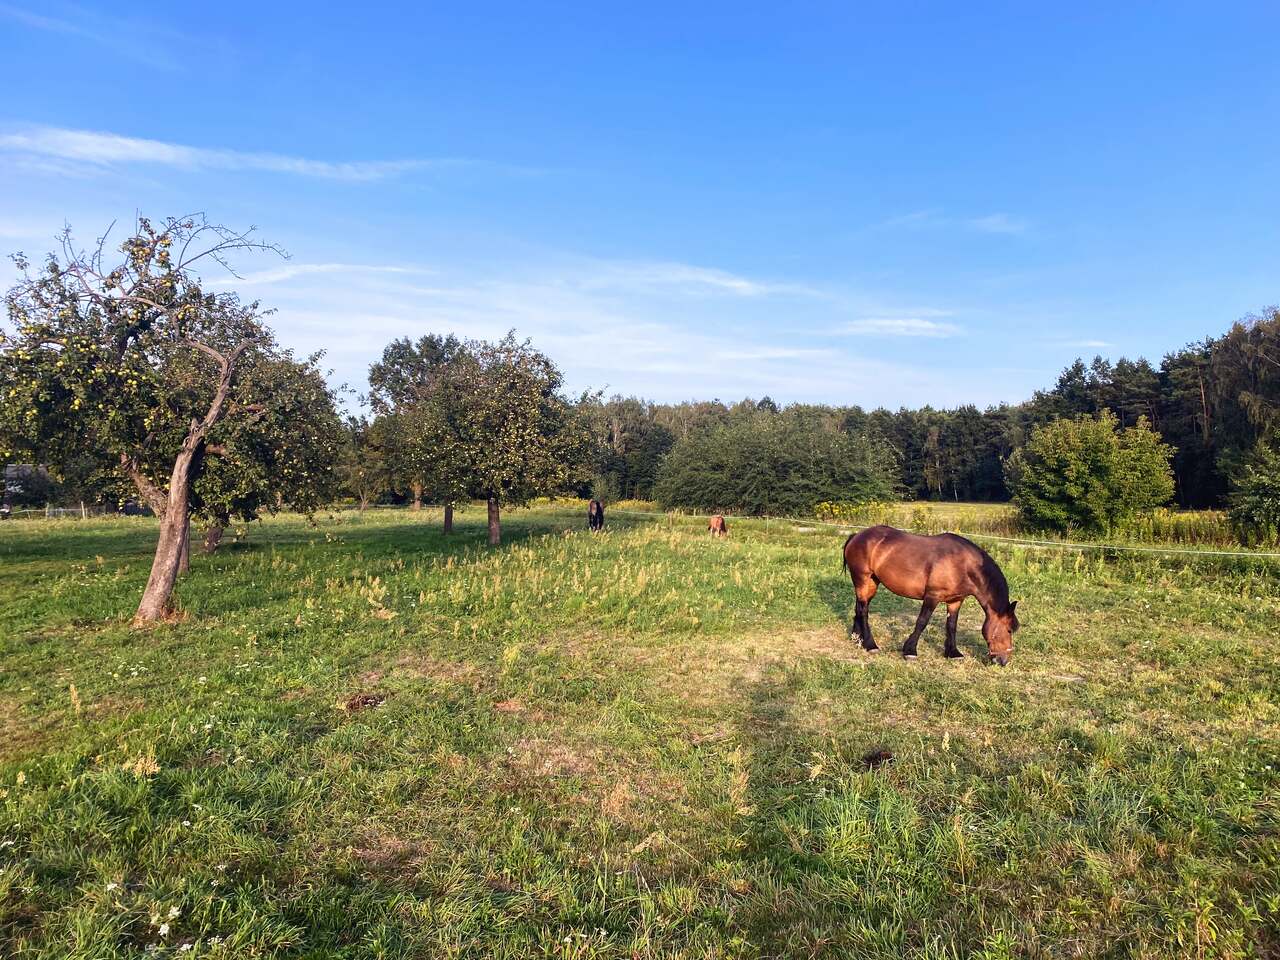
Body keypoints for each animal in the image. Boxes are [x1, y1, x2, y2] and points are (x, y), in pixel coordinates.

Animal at [842, 525, 1019, 665]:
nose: (1003, 661)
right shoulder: (932, 597)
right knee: (864, 611)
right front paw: (910, 651)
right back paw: (870, 645)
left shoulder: (955, 601)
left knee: (859, 607)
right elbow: (922, 622)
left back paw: (857, 638)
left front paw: (953, 653)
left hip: (871, 582)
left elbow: (951, 625)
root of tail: (856, 535)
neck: (963, 564)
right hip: (863, 579)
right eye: (1009, 630)